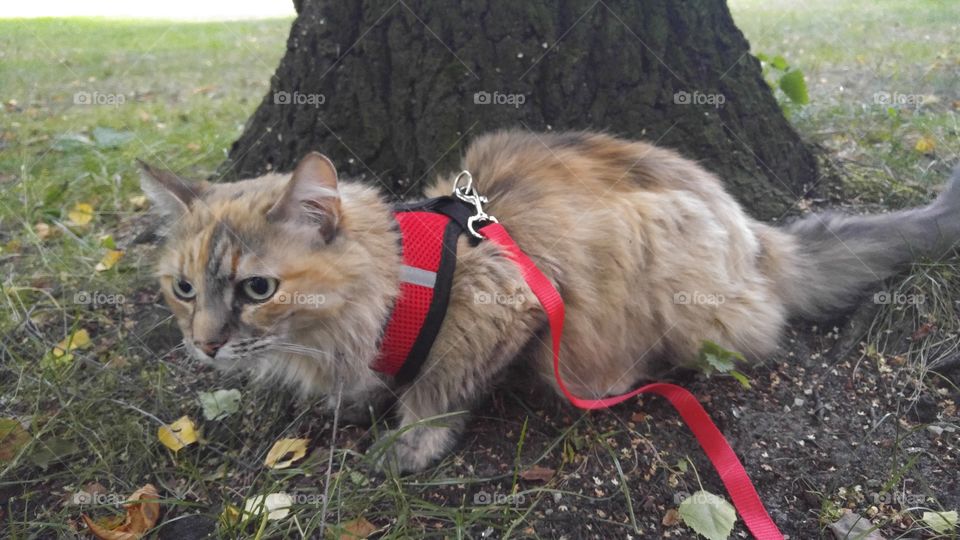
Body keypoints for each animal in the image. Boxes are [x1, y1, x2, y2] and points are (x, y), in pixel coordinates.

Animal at [139, 129, 956, 470]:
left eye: (258, 289)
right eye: (184, 290)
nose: (204, 343)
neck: (396, 276)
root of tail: (755, 233)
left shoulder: (510, 304)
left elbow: (436, 391)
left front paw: (409, 444)